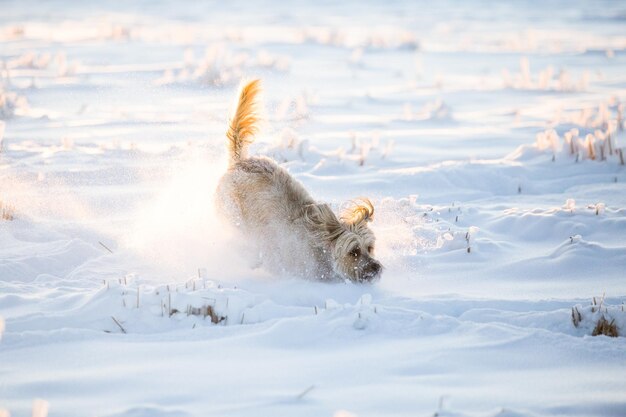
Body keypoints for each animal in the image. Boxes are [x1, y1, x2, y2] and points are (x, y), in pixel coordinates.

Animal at [214, 79, 380, 282]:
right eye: (354, 252)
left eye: (369, 248)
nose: (375, 267)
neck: (319, 244)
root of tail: (240, 162)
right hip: (233, 216)